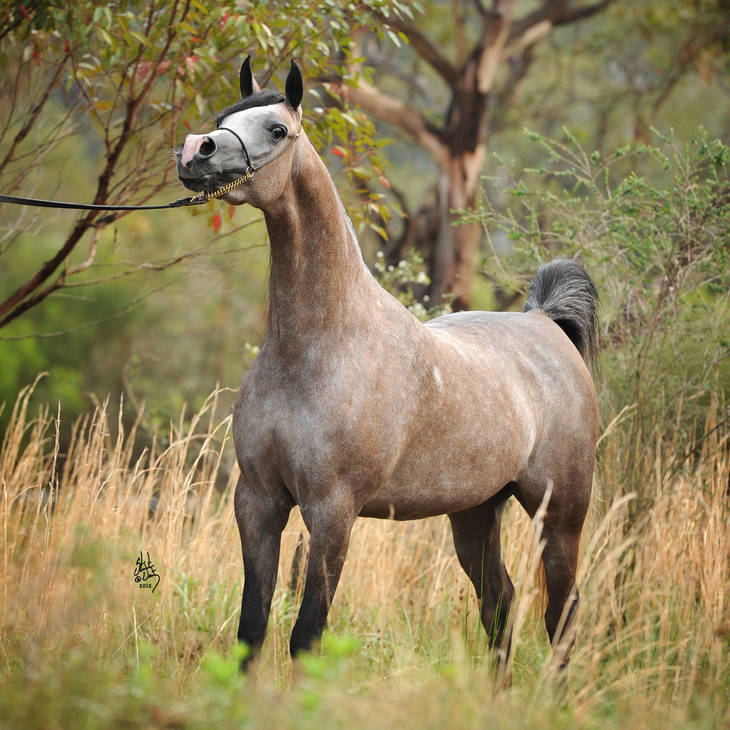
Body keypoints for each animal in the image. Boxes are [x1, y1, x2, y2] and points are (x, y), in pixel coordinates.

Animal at [177, 57, 598, 669]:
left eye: (277, 129)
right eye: (221, 119)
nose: (195, 152)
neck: (319, 348)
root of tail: (546, 322)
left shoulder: (332, 512)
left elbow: (306, 635)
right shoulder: (257, 503)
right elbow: (251, 629)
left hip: (559, 514)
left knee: (560, 614)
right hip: (475, 512)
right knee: (500, 603)